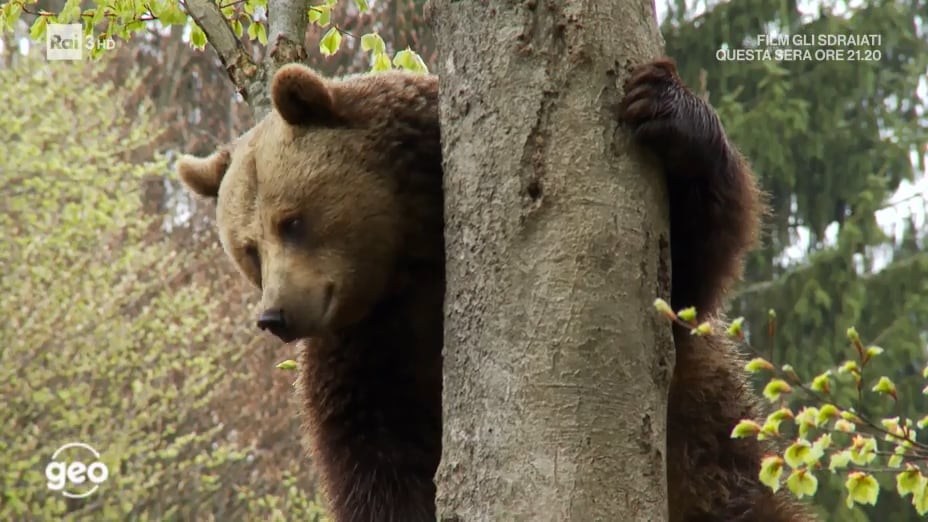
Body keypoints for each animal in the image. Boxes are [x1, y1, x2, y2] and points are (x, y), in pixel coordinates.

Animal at [176, 60, 812, 522]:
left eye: (292, 222)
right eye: (248, 249)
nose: (275, 316)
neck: (409, 260)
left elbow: (686, 275)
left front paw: (663, 107)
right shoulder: (363, 357)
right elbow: (372, 462)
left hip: (714, 463)